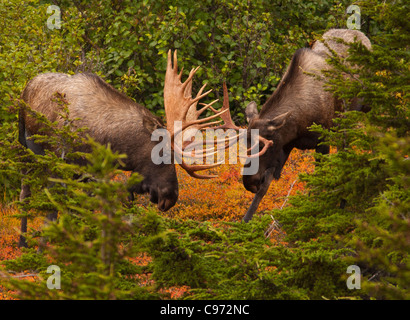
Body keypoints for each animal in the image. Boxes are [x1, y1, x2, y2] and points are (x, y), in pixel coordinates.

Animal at [240, 28, 372, 221]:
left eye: (266, 145)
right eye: (245, 143)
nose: (249, 182)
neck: (299, 125)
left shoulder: (322, 140)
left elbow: (319, 180)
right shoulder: (284, 146)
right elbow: (263, 191)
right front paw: (245, 222)